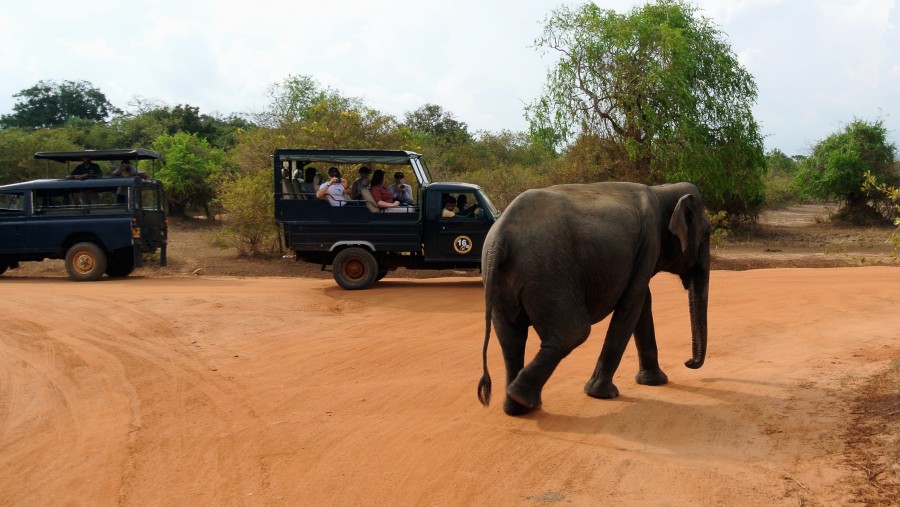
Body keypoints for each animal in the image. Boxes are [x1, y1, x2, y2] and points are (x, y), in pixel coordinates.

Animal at [478, 183, 712, 416]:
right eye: (708, 232)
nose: (688, 362)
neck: (662, 191)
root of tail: (500, 238)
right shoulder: (650, 243)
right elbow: (632, 303)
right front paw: (602, 394)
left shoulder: (643, 251)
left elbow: (642, 301)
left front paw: (653, 382)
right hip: (548, 274)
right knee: (573, 332)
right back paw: (522, 398)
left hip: (504, 281)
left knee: (511, 338)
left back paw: (516, 407)